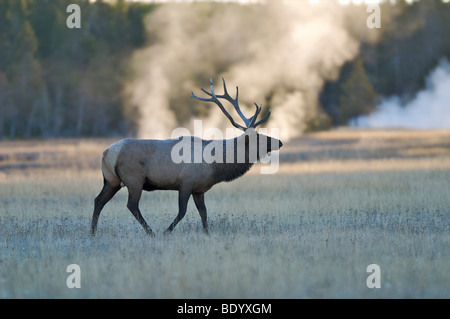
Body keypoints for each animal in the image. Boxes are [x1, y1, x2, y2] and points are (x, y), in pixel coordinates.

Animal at [89, 78, 284, 238]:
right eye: (258, 136)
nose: (280, 141)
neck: (216, 165)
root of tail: (107, 152)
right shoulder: (186, 182)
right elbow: (182, 211)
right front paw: (166, 232)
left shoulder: (199, 189)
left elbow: (204, 212)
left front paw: (207, 234)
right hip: (134, 179)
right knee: (132, 205)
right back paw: (151, 232)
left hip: (111, 180)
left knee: (98, 200)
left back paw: (92, 232)